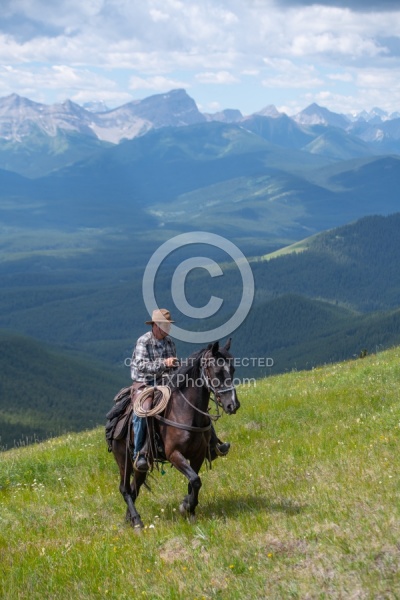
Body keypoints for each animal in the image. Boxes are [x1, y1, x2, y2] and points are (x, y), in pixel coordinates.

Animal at [109, 338, 239, 528]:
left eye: (233, 369)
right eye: (217, 371)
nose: (233, 405)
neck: (184, 411)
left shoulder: (198, 455)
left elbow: (194, 482)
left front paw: (190, 511)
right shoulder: (174, 454)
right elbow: (195, 480)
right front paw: (186, 506)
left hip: (140, 466)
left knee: (134, 488)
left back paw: (130, 520)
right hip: (123, 459)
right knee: (125, 489)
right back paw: (138, 522)